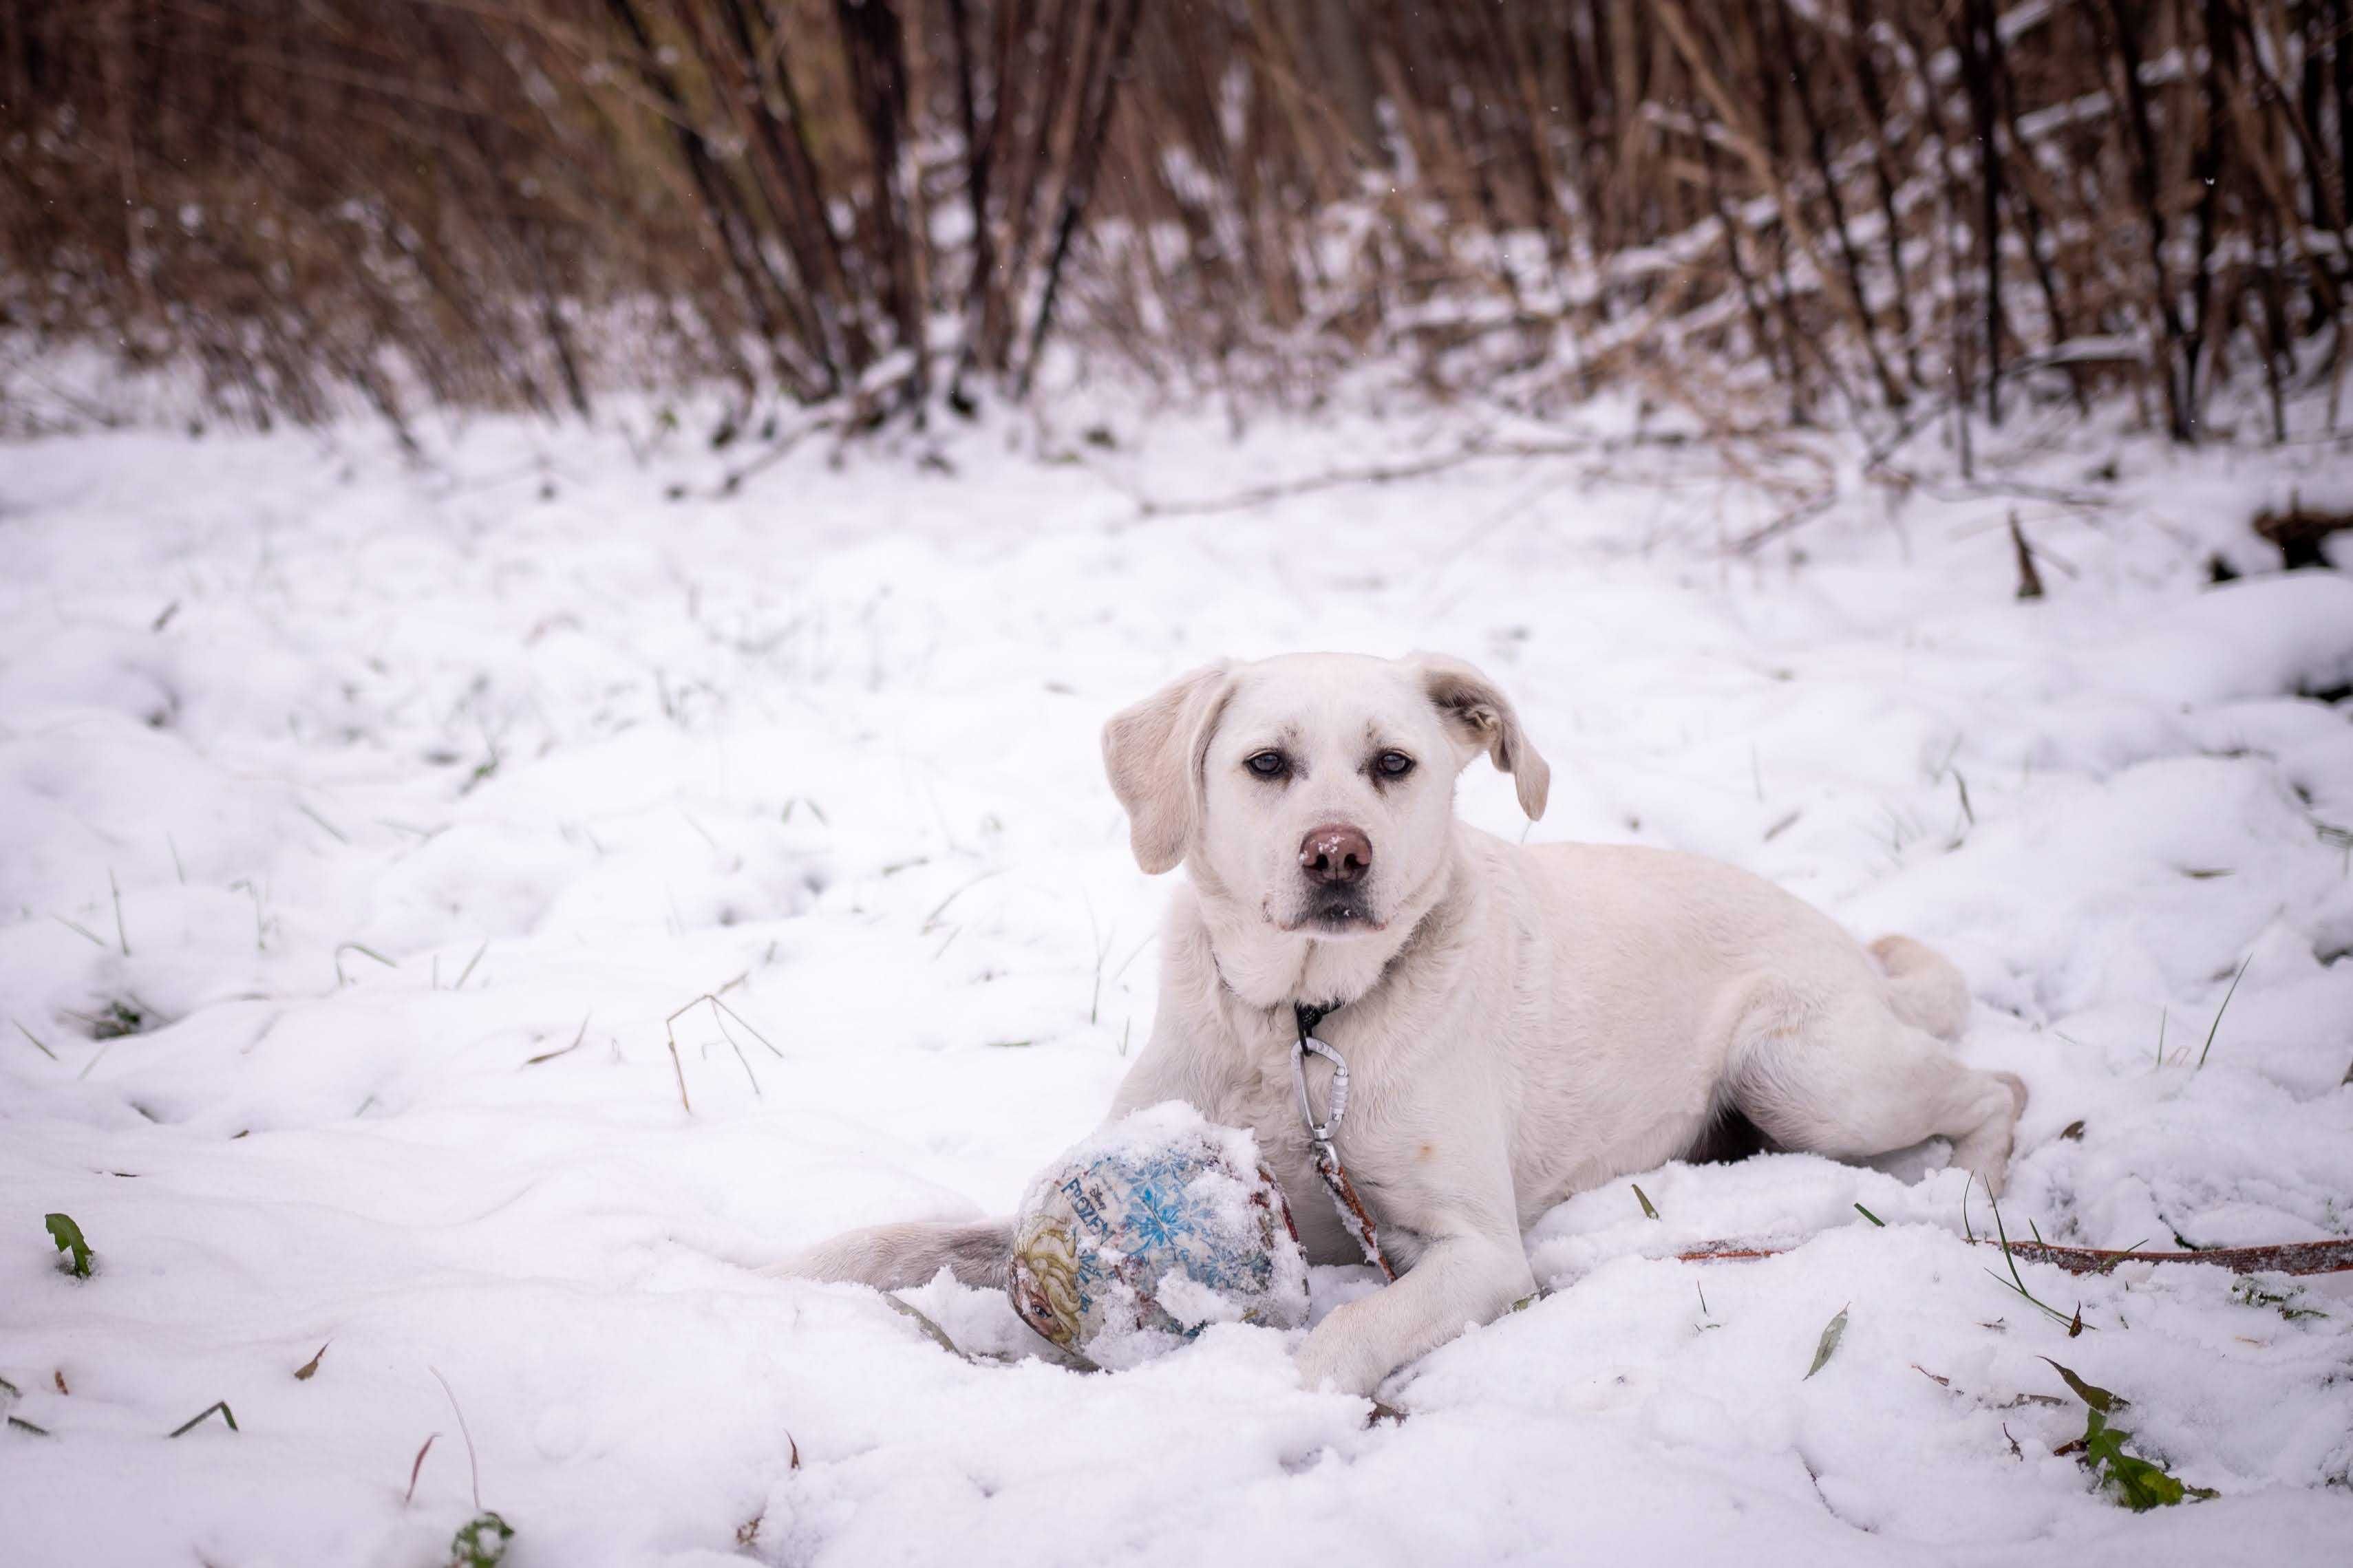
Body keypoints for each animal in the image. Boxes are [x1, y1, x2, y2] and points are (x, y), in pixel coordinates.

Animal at [781, 649, 2033, 1401]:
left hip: (1805, 1071)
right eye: (1265, 762)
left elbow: (1347, 1333)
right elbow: (910, 1237)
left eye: (1393, 762)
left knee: (1996, 1090)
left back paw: (1967, 1196)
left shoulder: (1475, 1247)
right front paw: (783, 1268)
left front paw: (1274, 1394)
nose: (1336, 852)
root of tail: (1847, 947)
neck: (1300, 1023)